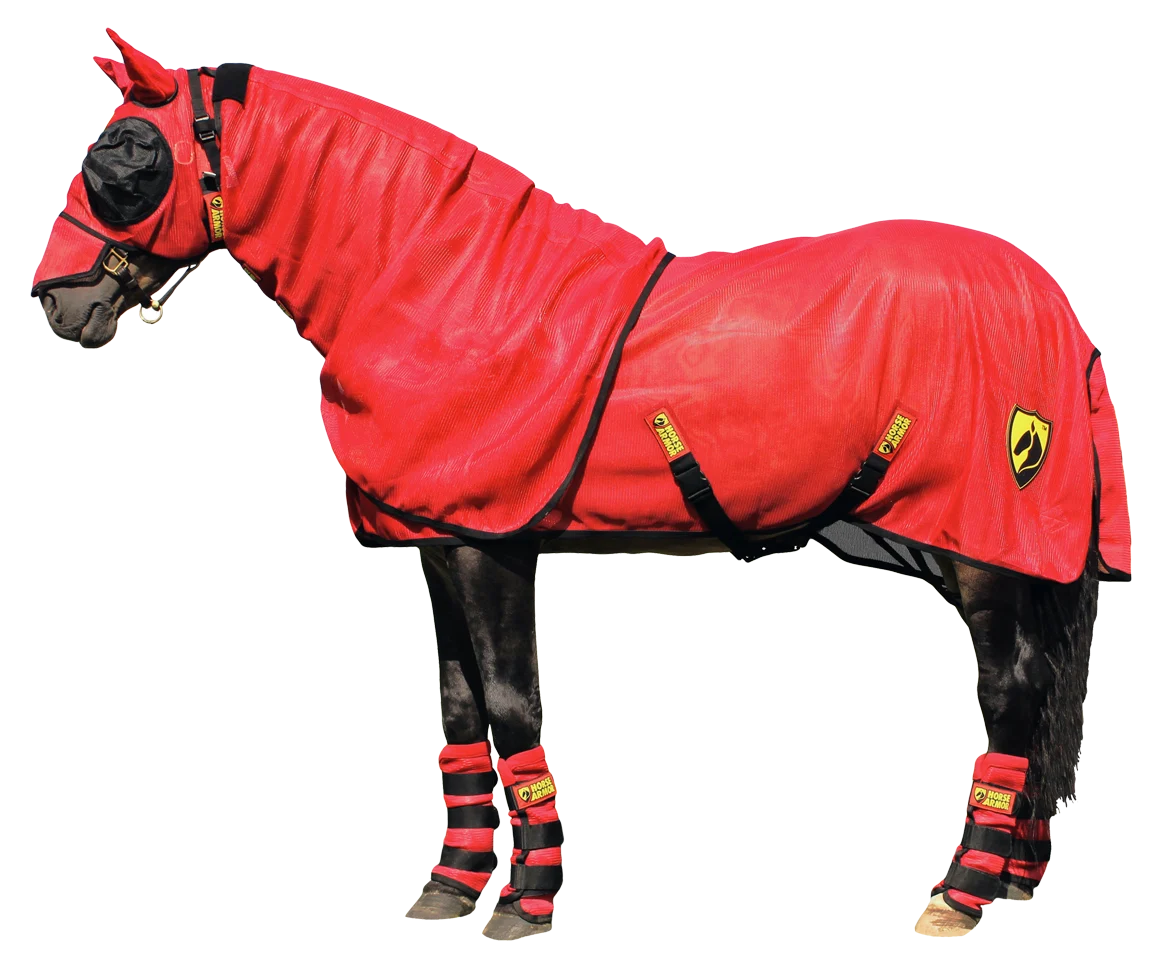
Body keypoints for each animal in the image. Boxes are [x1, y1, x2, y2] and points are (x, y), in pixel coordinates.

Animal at [32, 30, 1132, 942]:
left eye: (125, 154)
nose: (57, 301)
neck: (449, 290)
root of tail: (1054, 306)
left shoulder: (489, 544)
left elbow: (511, 703)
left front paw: (526, 903)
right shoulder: (439, 539)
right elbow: (460, 711)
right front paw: (450, 886)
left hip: (981, 543)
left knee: (1012, 694)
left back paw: (959, 895)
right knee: (1038, 695)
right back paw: (1007, 875)